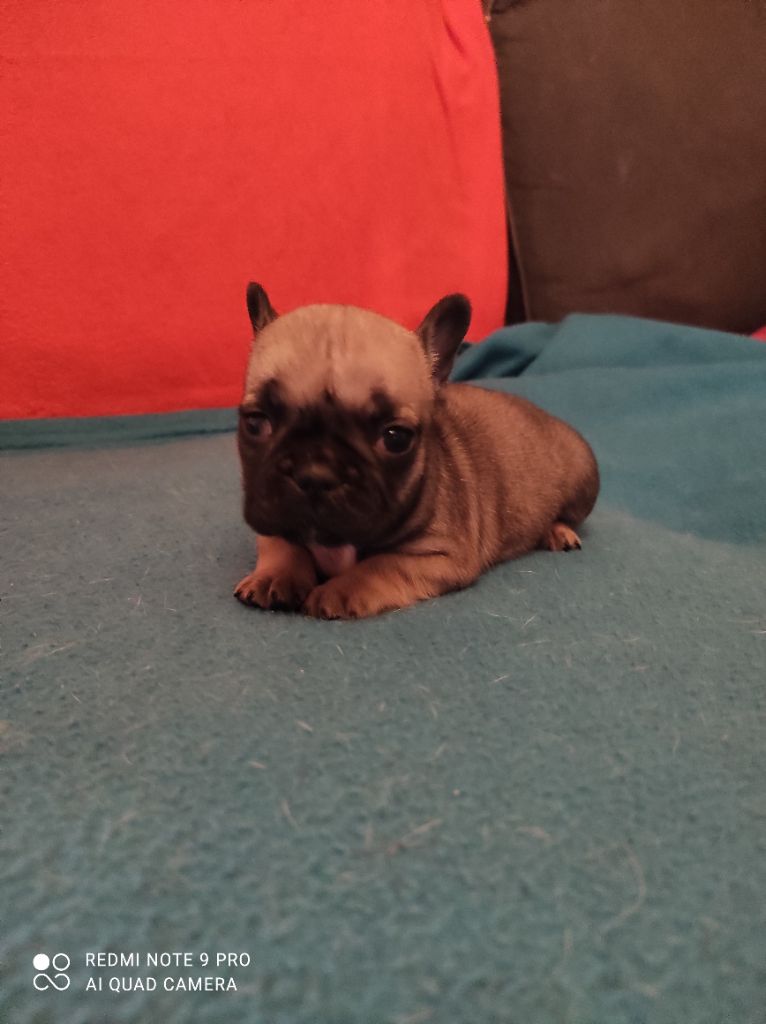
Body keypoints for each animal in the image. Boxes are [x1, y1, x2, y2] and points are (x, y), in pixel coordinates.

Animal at [235, 283, 599, 619]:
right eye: (255, 422)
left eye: (395, 438)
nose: (315, 473)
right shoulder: (274, 515)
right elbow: (281, 542)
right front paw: (275, 575)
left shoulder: (440, 557)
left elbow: (380, 565)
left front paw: (337, 590)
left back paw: (558, 531)